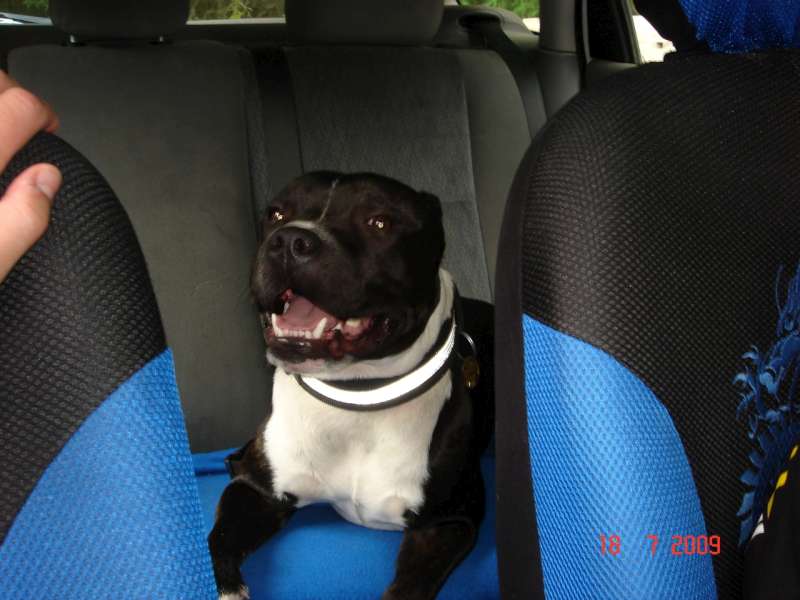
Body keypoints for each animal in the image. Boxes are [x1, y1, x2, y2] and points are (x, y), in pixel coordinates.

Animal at [209, 172, 486, 600]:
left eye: (380, 222)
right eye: (276, 214)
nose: (290, 240)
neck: (357, 397)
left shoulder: (450, 521)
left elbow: (408, 588)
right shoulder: (255, 486)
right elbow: (220, 540)